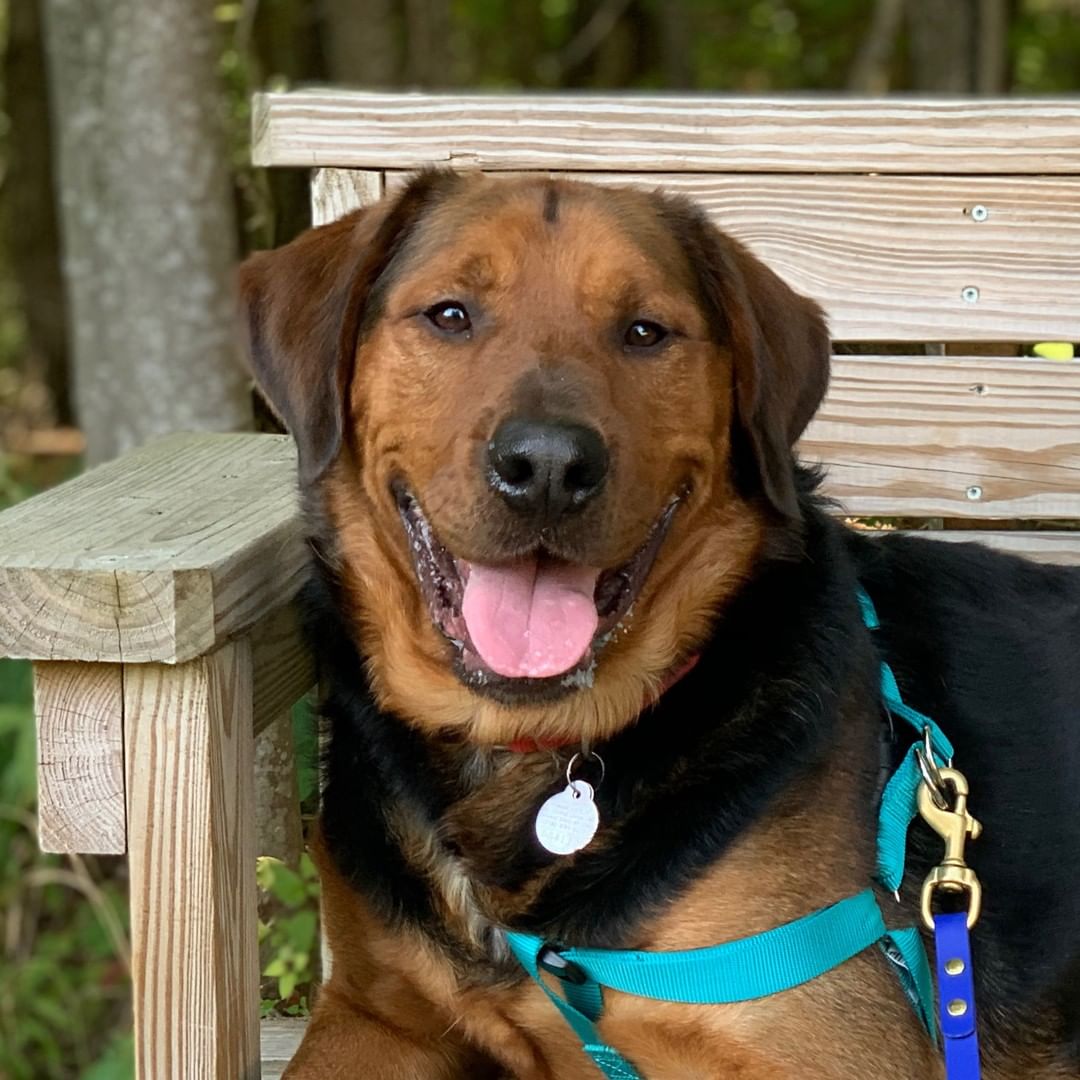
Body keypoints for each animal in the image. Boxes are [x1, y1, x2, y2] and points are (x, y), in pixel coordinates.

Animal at [238, 172, 1080, 1075]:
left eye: (645, 332)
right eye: (450, 314)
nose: (546, 467)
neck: (517, 754)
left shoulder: (830, 1045)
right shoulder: (372, 1012)